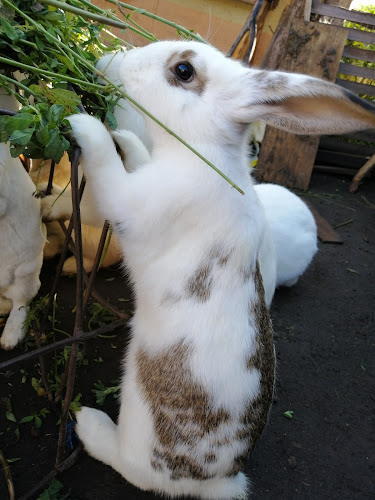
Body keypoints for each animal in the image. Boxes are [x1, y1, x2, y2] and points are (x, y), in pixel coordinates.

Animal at [69, 40, 375, 500]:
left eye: (183, 70)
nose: (112, 60)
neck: (202, 152)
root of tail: (220, 479)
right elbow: (133, 154)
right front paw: (125, 137)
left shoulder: (129, 202)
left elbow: (105, 166)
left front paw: (85, 124)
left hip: (138, 430)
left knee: (130, 466)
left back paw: (90, 424)